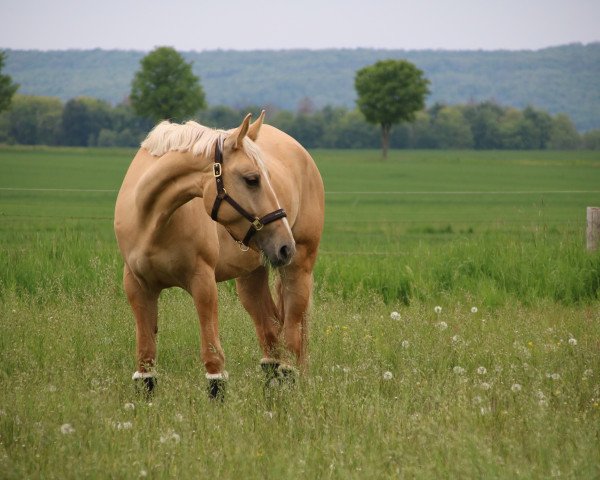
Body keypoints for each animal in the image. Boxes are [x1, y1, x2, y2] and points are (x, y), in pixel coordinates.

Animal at [115, 113, 326, 398]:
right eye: (252, 179)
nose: (285, 247)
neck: (152, 221)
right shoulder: (138, 288)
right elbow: (145, 362)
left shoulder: (203, 283)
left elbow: (213, 359)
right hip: (251, 278)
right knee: (271, 336)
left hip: (299, 269)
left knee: (292, 340)